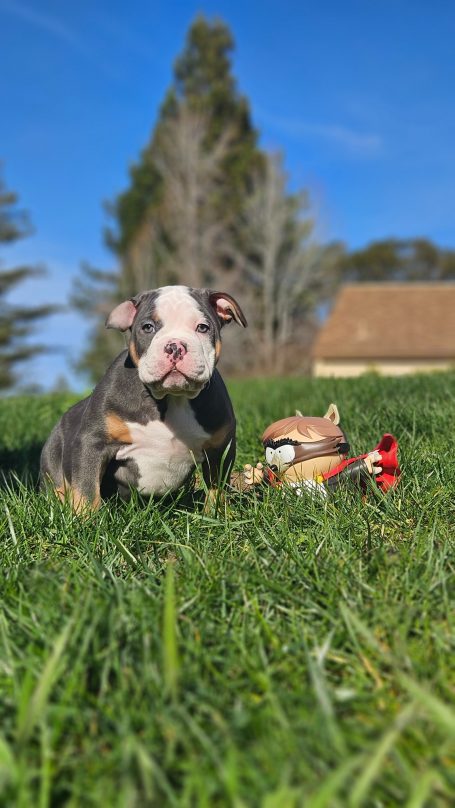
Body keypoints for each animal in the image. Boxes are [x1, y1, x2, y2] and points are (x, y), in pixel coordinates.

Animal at [41, 286, 248, 512]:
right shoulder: (93, 442)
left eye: (203, 327)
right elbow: (87, 490)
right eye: (148, 327)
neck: (171, 398)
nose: (175, 346)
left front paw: (216, 514)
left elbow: (216, 489)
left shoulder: (220, 447)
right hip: (53, 457)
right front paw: (85, 519)